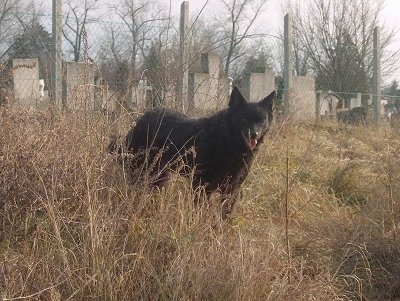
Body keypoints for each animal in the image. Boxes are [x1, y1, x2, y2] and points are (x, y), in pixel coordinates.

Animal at [113, 86, 276, 218]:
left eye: (261, 121)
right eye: (244, 119)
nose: (253, 134)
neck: (227, 141)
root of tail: (140, 119)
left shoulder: (231, 189)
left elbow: (225, 215)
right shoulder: (201, 185)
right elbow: (201, 211)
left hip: (160, 175)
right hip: (141, 170)